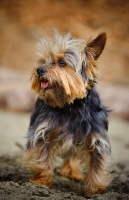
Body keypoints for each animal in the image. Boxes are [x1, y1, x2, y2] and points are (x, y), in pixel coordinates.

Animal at [24, 31, 114, 197]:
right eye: (43, 60)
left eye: (62, 62)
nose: (39, 70)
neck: (70, 107)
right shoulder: (41, 133)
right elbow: (42, 161)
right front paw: (41, 184)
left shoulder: (97, 141)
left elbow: (97, 168)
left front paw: (94, 193)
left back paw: (72, 172)